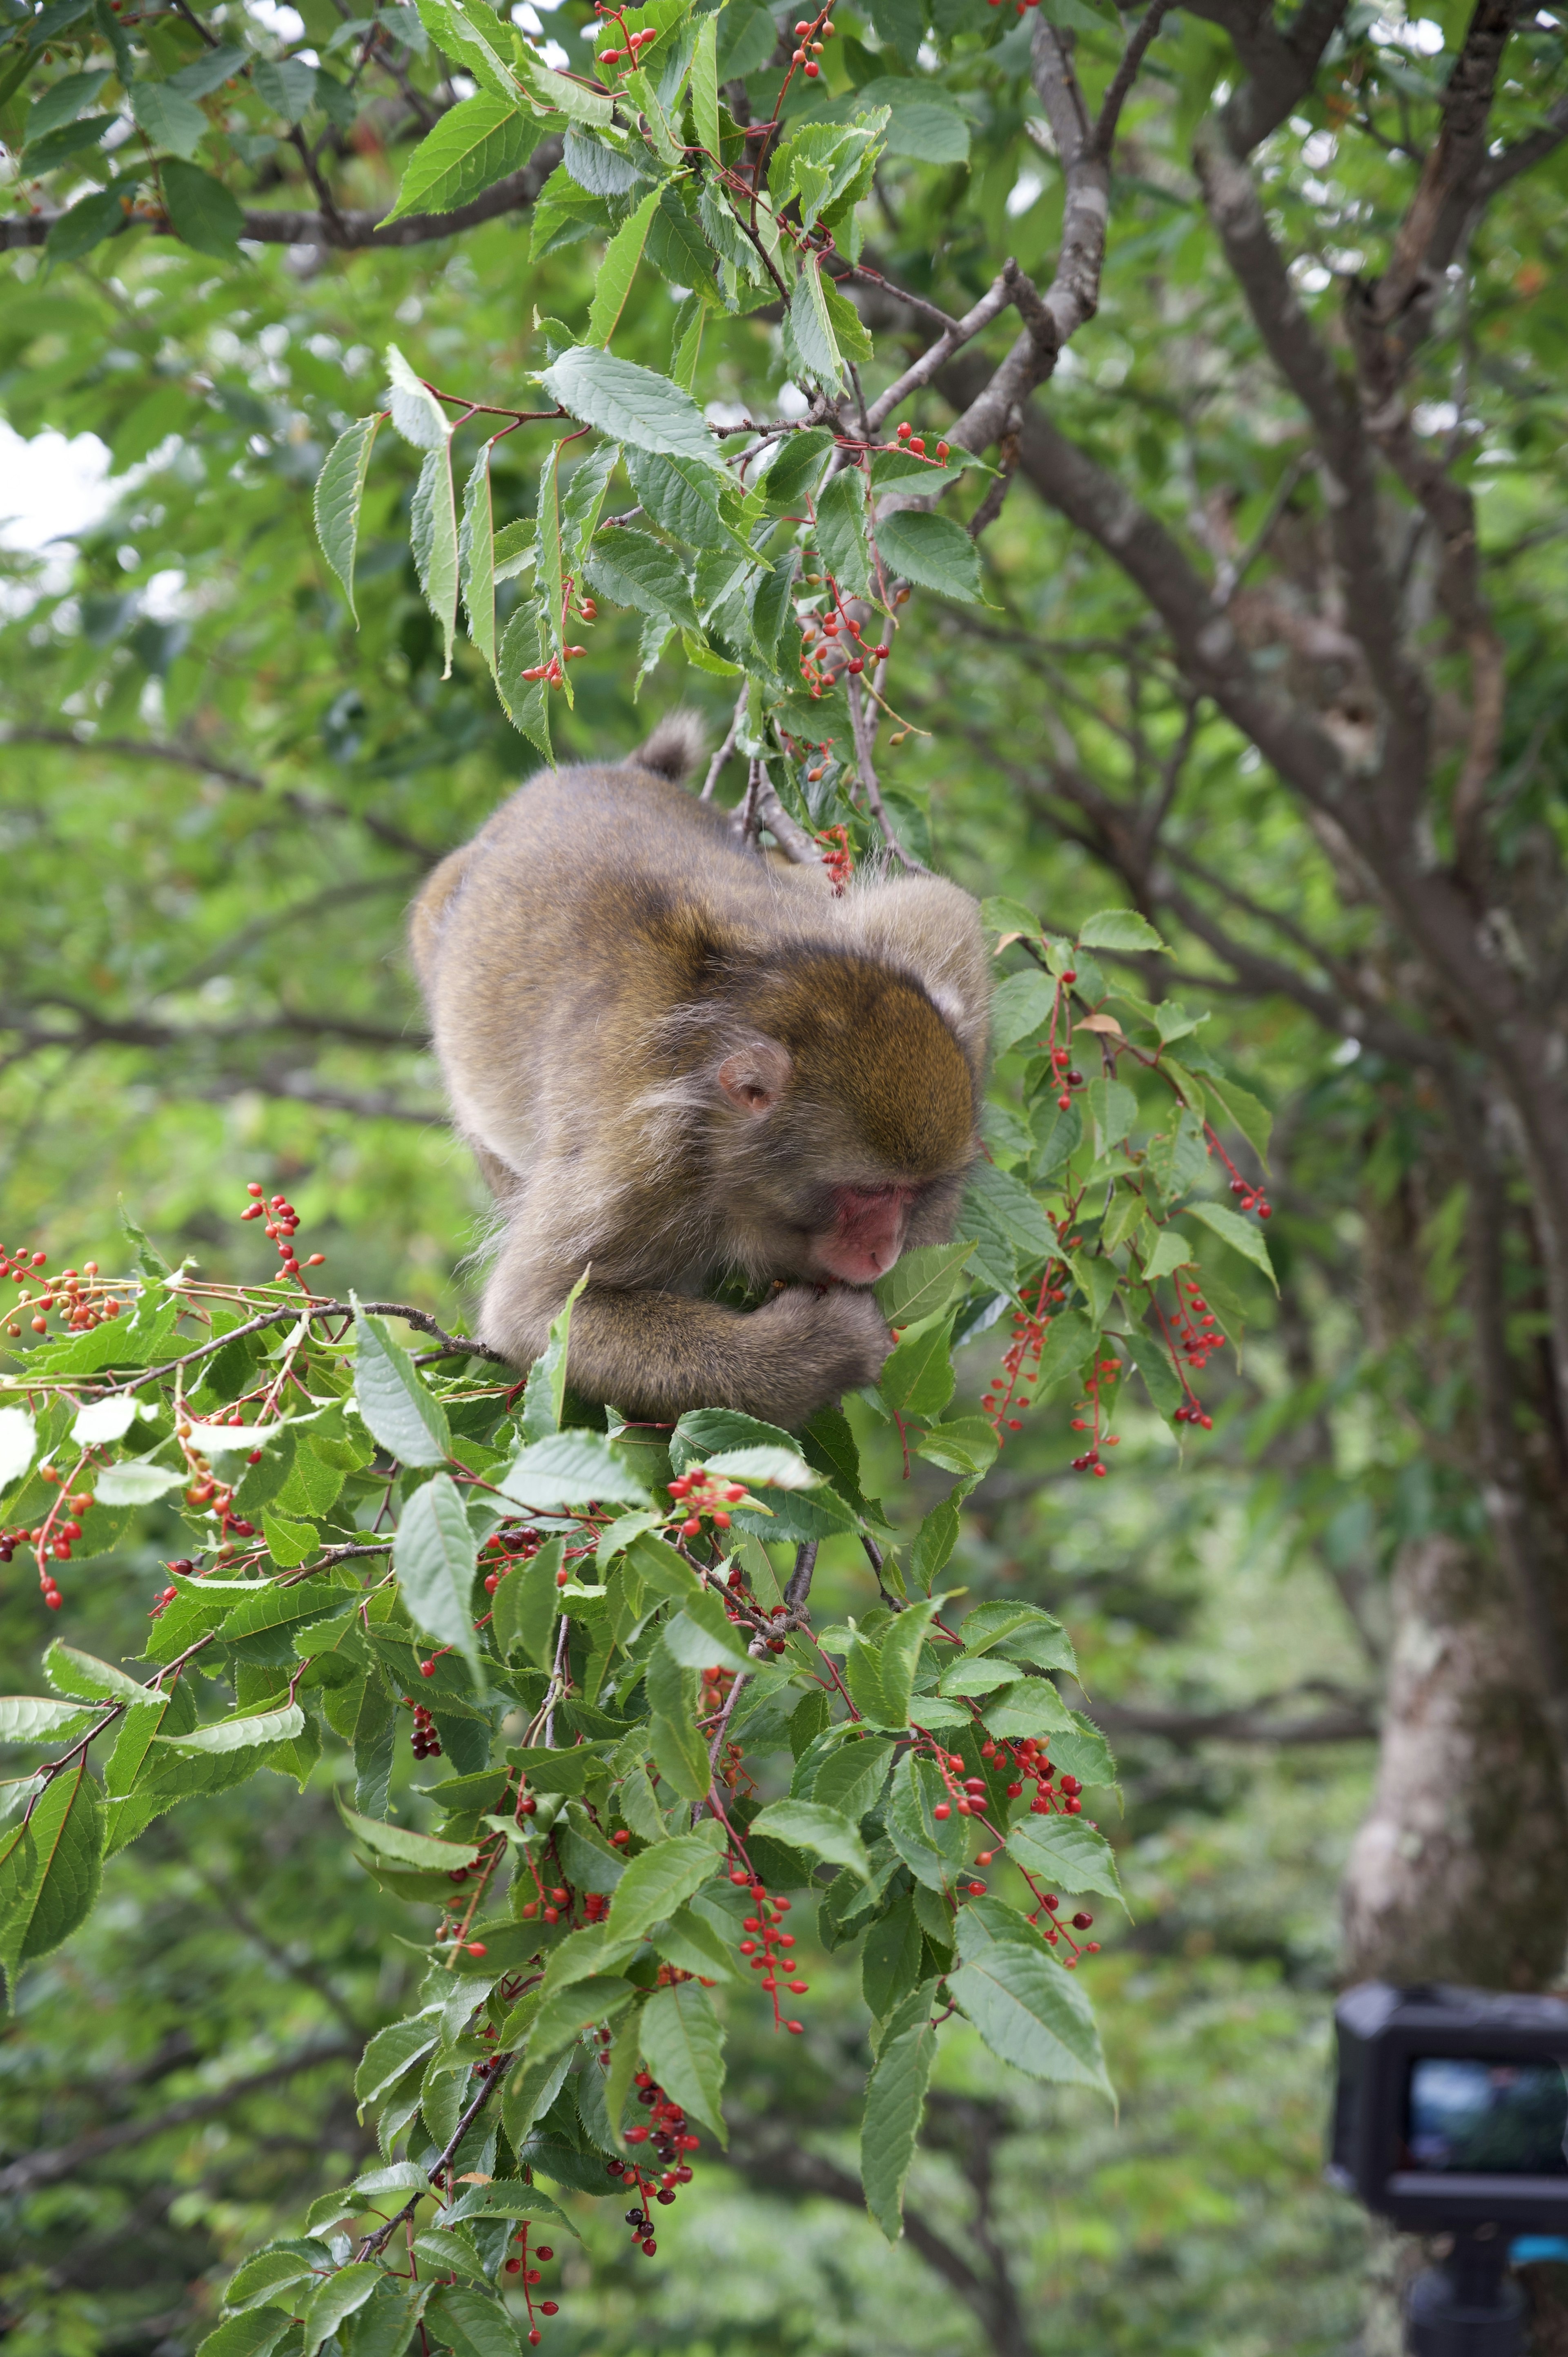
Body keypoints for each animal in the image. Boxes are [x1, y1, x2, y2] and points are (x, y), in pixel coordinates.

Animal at [410, 707, 985, 1423]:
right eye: (868, 1193)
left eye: (911, 1193)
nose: (884, 1250)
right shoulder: (640, 1169)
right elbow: (536, 1311)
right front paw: (826, 1347)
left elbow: (942, 909)